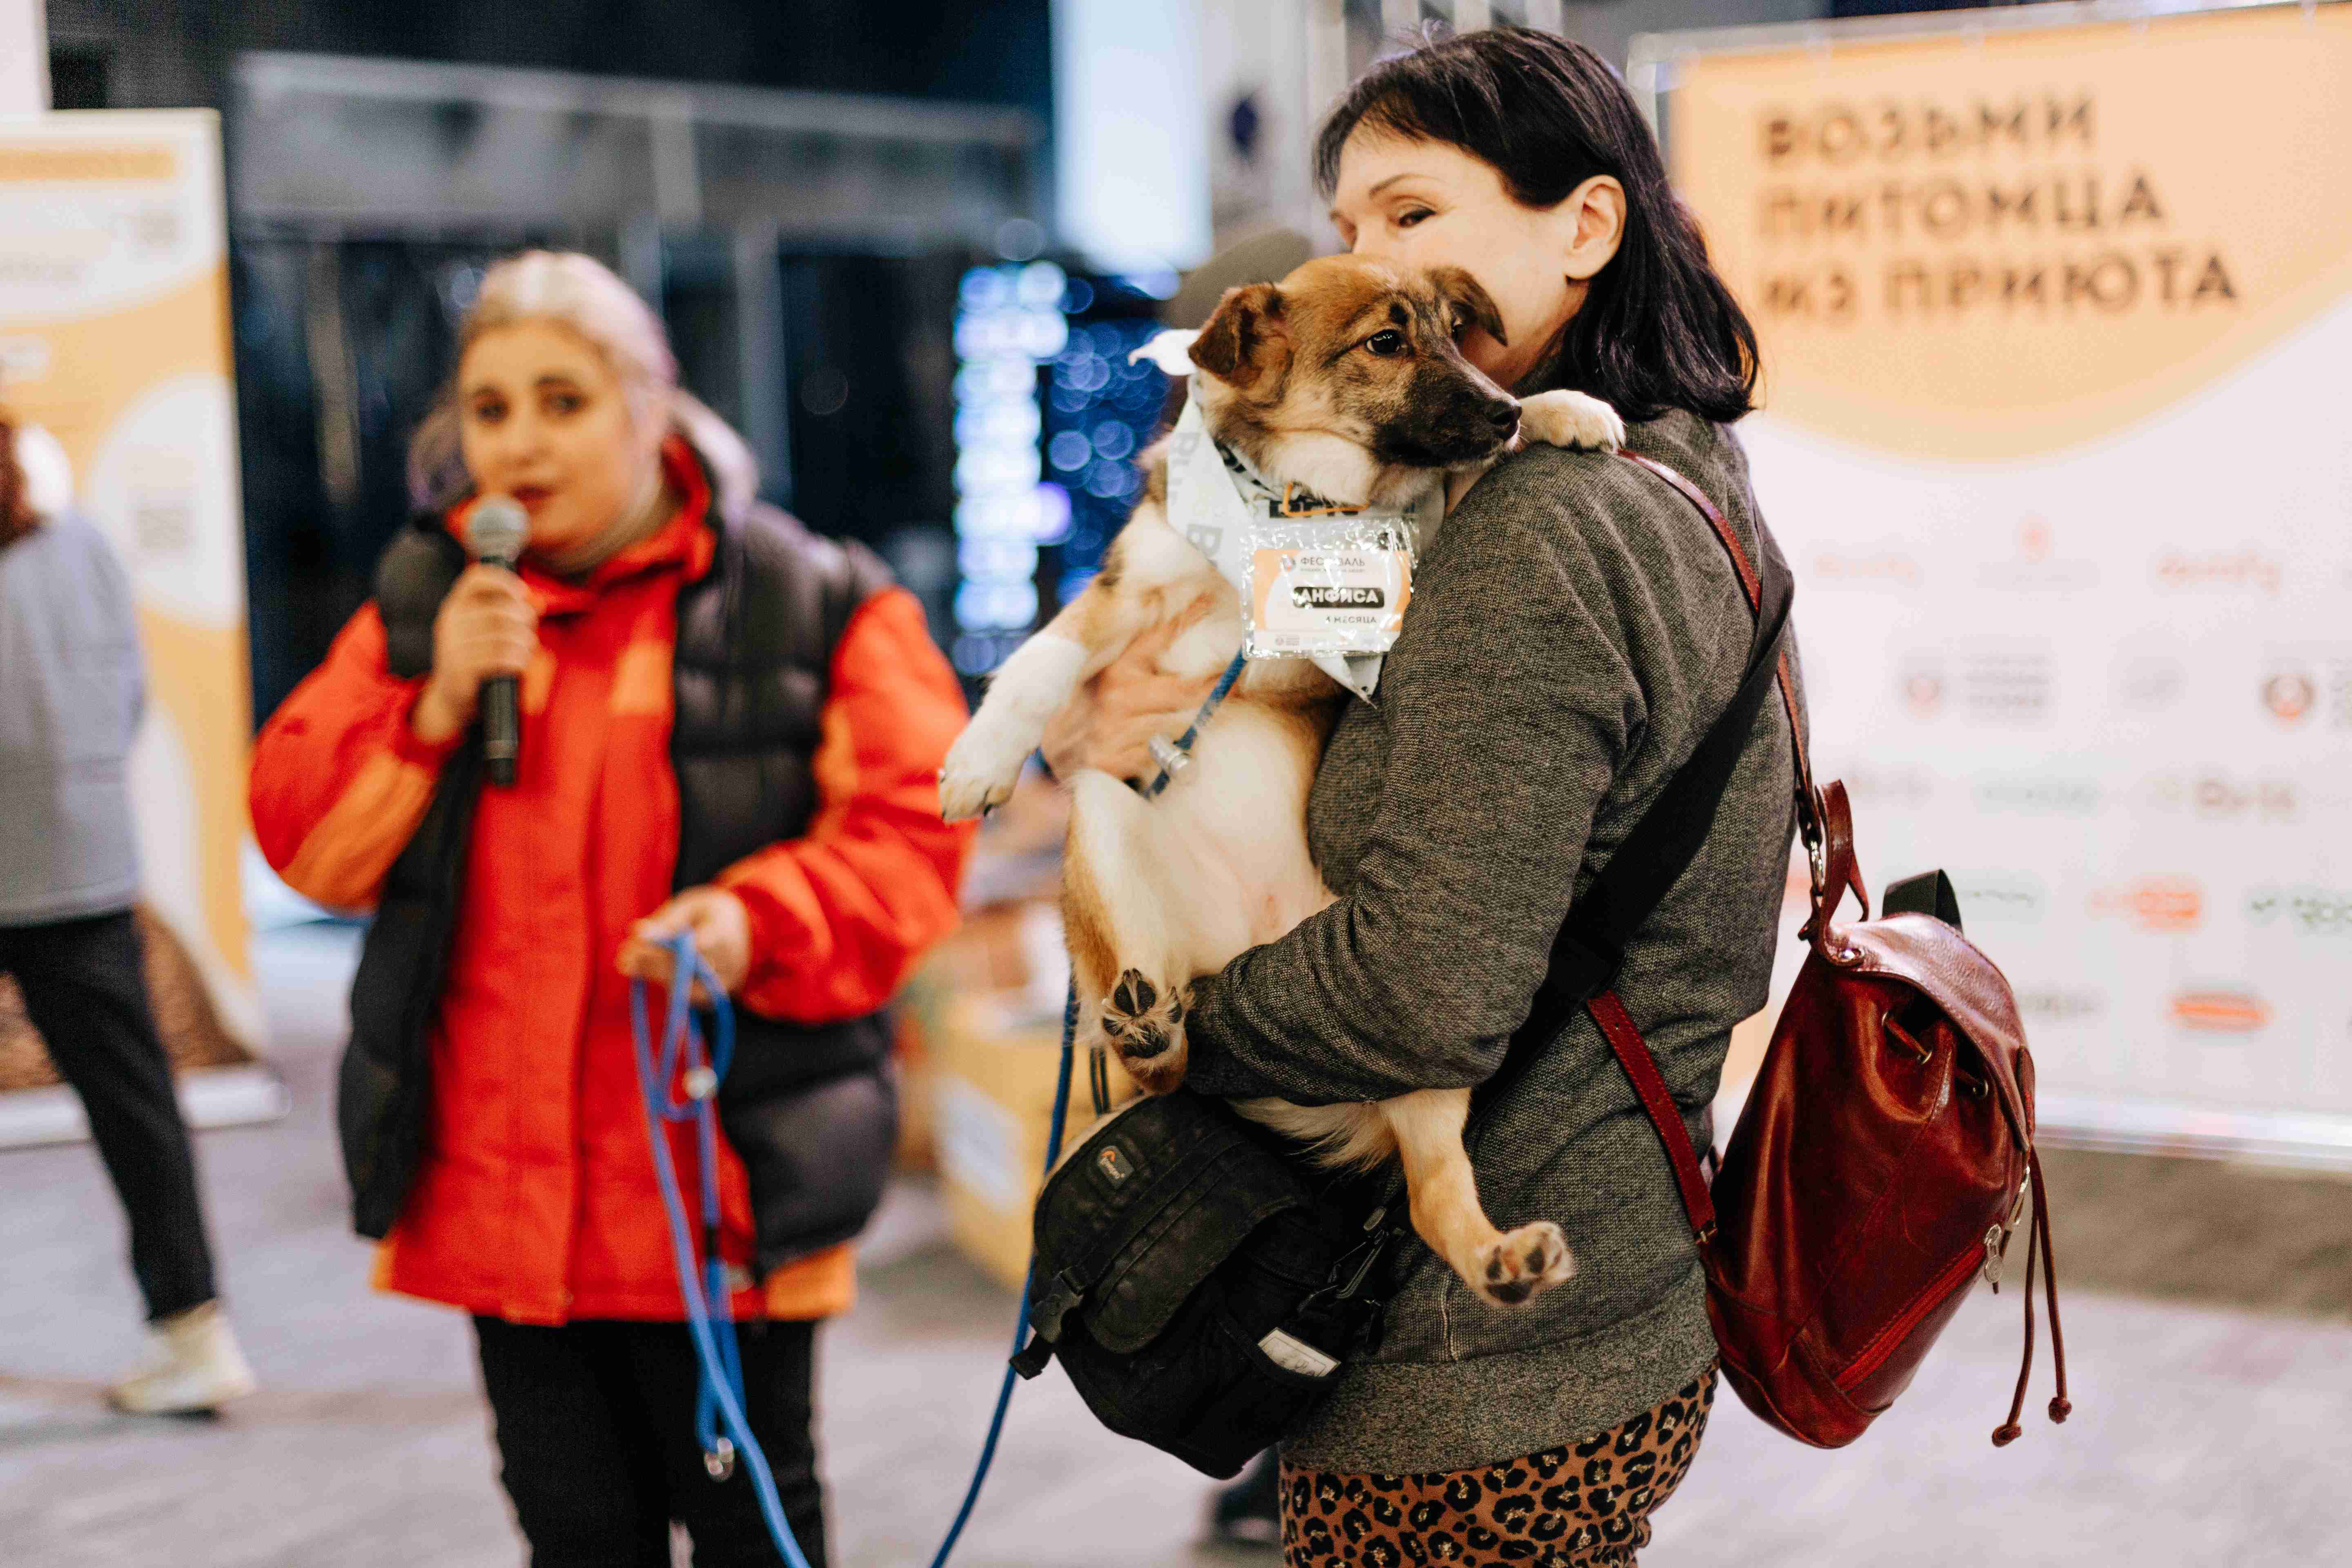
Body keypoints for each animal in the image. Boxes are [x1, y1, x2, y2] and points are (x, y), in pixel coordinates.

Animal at [936, 257, 1618, 1307]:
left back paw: (1507, 1262)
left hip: (1412, 1054)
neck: (1299, 506)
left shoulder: (1411, 547)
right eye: (1386, 342)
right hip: (1102, 816)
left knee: (1432, 1195)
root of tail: (1236, 954)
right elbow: (1041, 662)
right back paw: (1147, 1034)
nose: (1505, 408)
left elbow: (1457, 474)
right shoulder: (1125, 589)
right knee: (1165, 1067)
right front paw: (980, 759)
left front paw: (1567, 408)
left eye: (1452, 331)